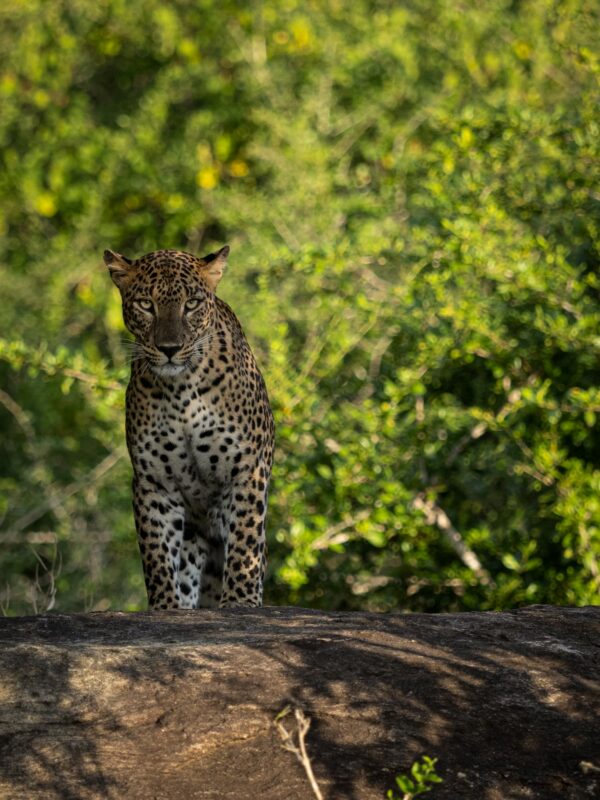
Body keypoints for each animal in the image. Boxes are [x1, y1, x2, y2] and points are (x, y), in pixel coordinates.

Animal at [105, 244, 274, 608]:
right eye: (146, 304)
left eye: (192, 303)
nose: (170, 349)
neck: (181, 390)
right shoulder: (154, 482)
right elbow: (156, 554)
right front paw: (166, 608)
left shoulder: (247, 469)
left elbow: (244, 546)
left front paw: (239, 603)